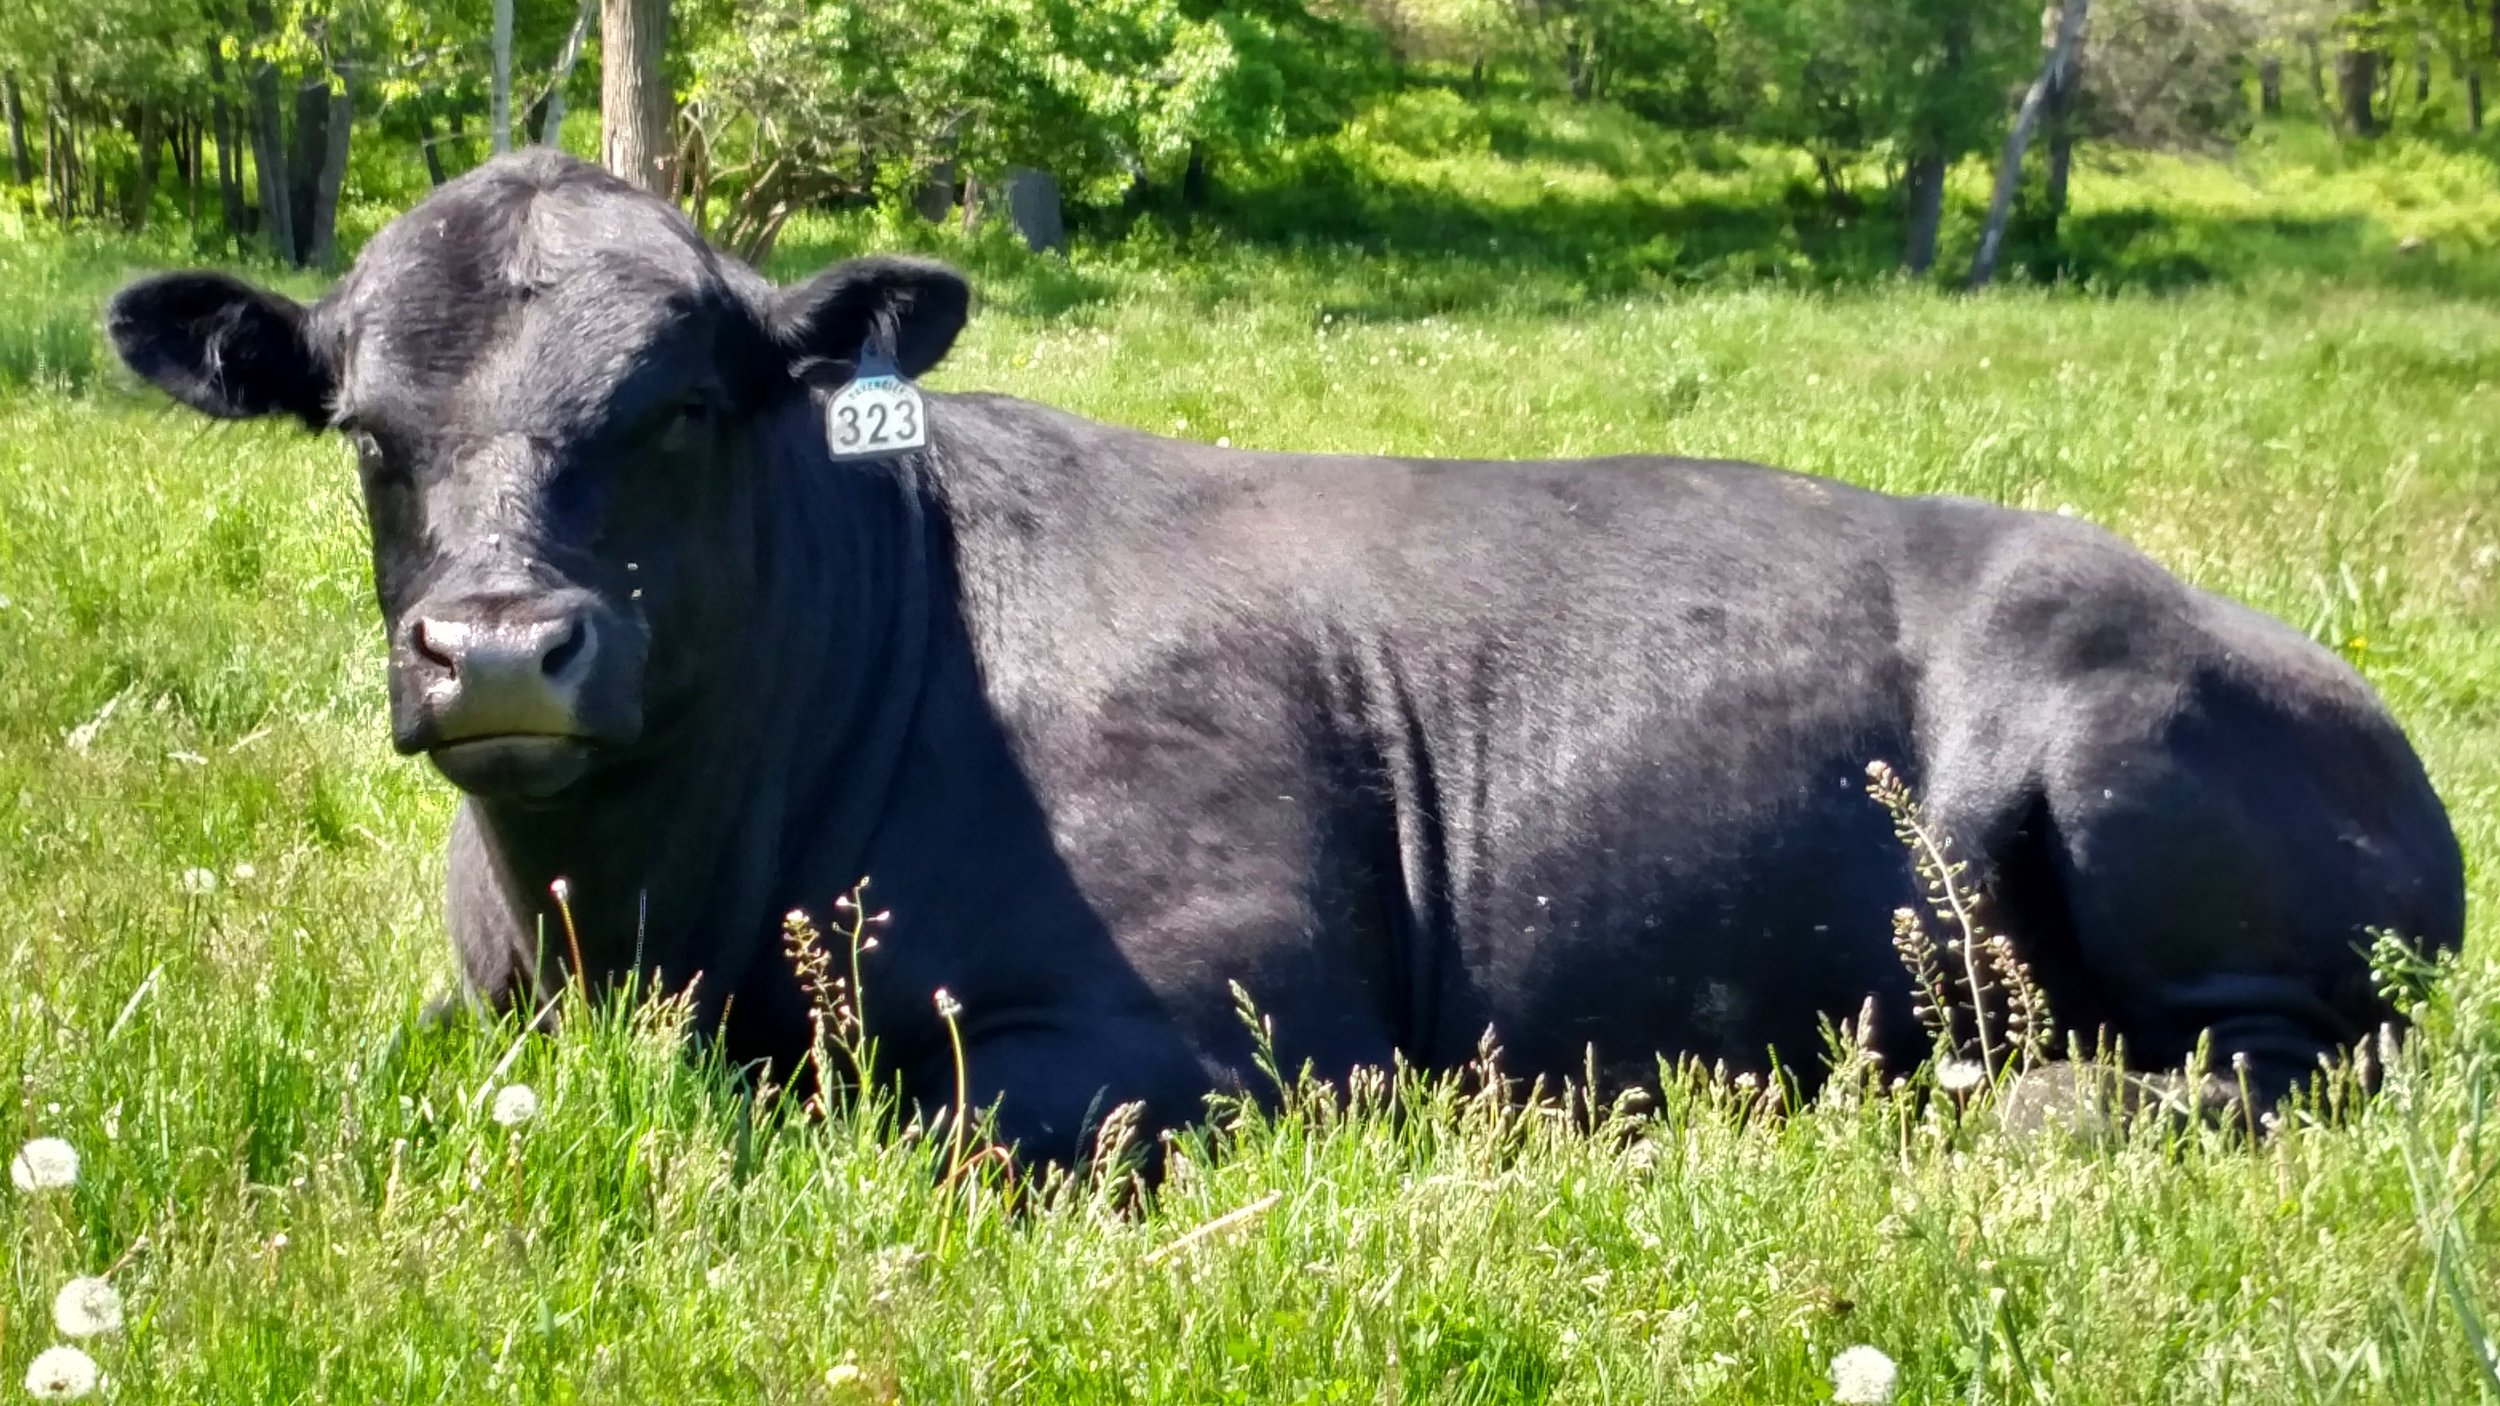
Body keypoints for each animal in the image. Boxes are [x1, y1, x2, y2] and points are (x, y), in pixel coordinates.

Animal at [106, 150, 2463, 1161]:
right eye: (366, 429)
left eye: (681, 404)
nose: (500, 650)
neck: (660, 916)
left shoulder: (1212, 1029)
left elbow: (902, 1132)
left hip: (2143, 786)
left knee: (2279, 1056)